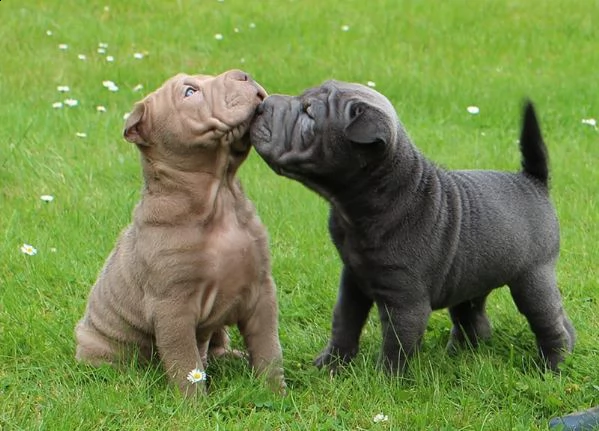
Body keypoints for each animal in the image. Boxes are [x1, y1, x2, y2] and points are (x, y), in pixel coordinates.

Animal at [75, 68, 286, 398]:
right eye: (189, 92)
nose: (242, 74)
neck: (219, 198)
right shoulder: (172, 308)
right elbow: (185, 363)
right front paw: (194, 406)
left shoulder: (261, 290)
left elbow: (268, 349)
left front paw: (276, 395)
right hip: (100, 347)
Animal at [250, 80, 576, 374]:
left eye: (309, 113)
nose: (262, 104)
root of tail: (532, 180)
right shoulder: (353, 279)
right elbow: (344, 323)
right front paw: (329, 366)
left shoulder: (404, 301)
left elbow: (396, 346)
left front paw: (384, 384)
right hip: (474, 275)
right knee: (476, 318)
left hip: (533, 278)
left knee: (548, 321)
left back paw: (553, 366)